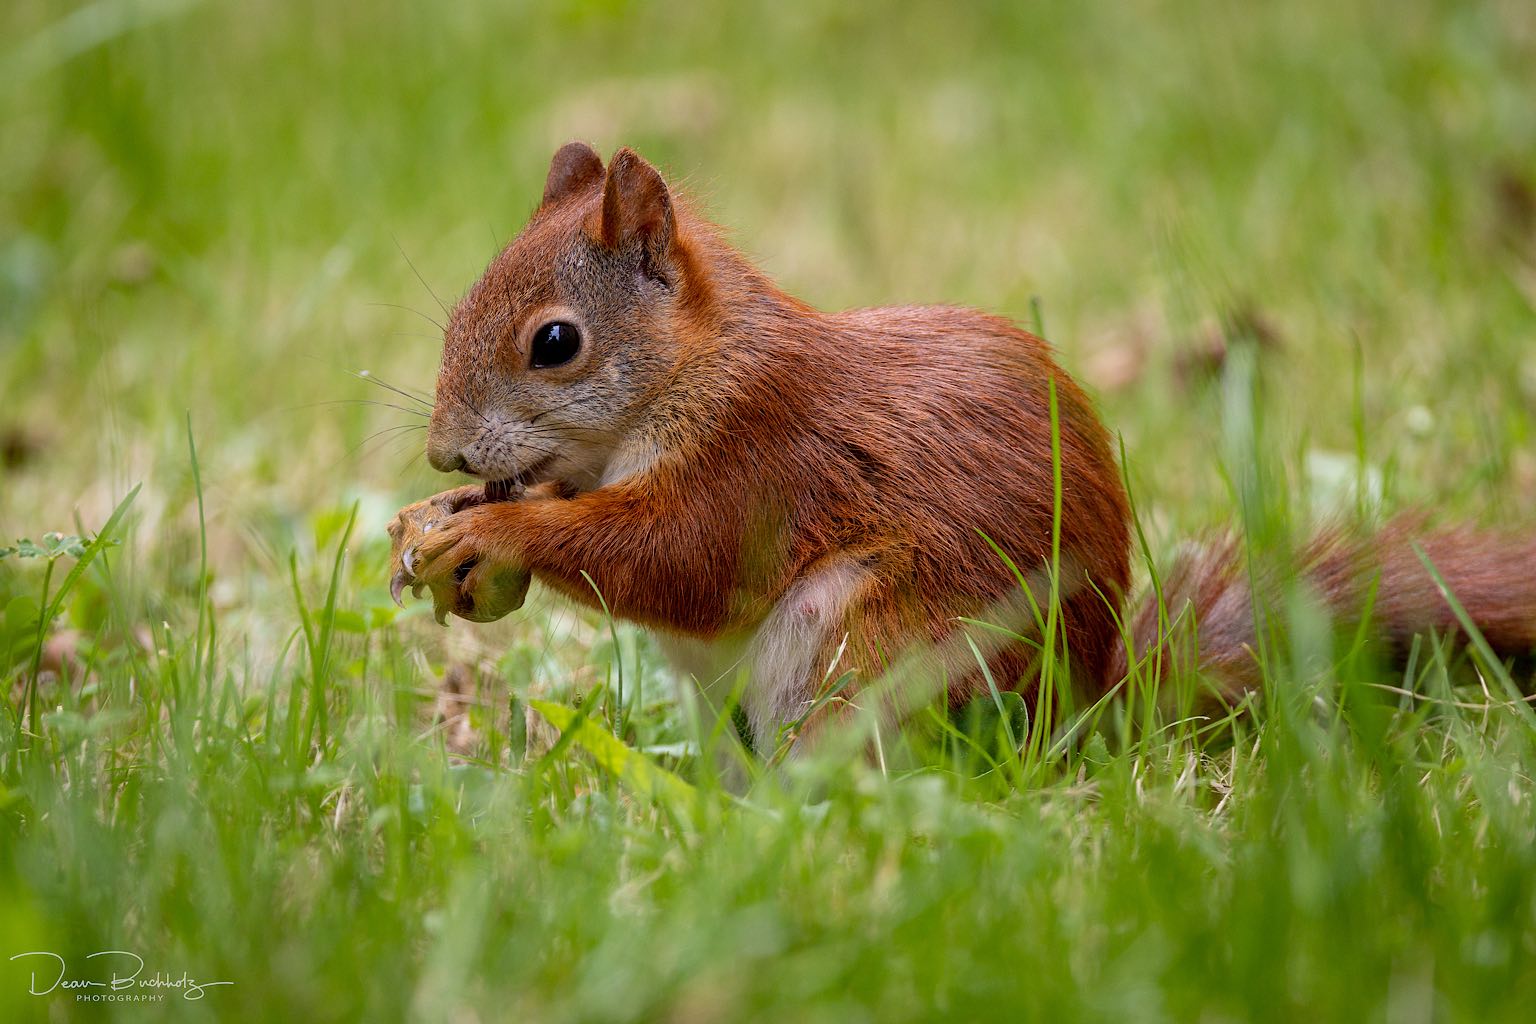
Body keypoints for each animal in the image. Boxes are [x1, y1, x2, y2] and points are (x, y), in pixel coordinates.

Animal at [387, 144, 1536, 749]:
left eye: (555, 343)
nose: (445, 455)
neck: (691, 374)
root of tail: (1086, 714)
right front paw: (433, 525)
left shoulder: (763, 459)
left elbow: (677, 560)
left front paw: (502, 533)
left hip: (873, 646)